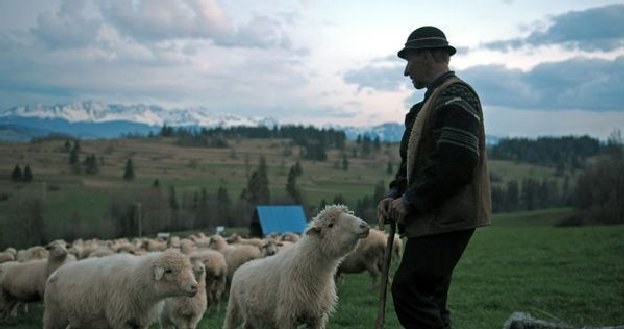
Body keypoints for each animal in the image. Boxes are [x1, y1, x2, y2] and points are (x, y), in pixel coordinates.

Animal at [42, 249, 199, 328]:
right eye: (169, 271)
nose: (194, 287)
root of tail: (55, 273)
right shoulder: (119, 319)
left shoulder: (139, 321)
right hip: (54, 315)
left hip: (79, 319)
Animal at [224, 204, 370, 326]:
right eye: (331, 225)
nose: (364, 226)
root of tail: (245, 265)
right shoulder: (287, 316)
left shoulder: (317, 317)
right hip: (234, 311)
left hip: (254, 317)